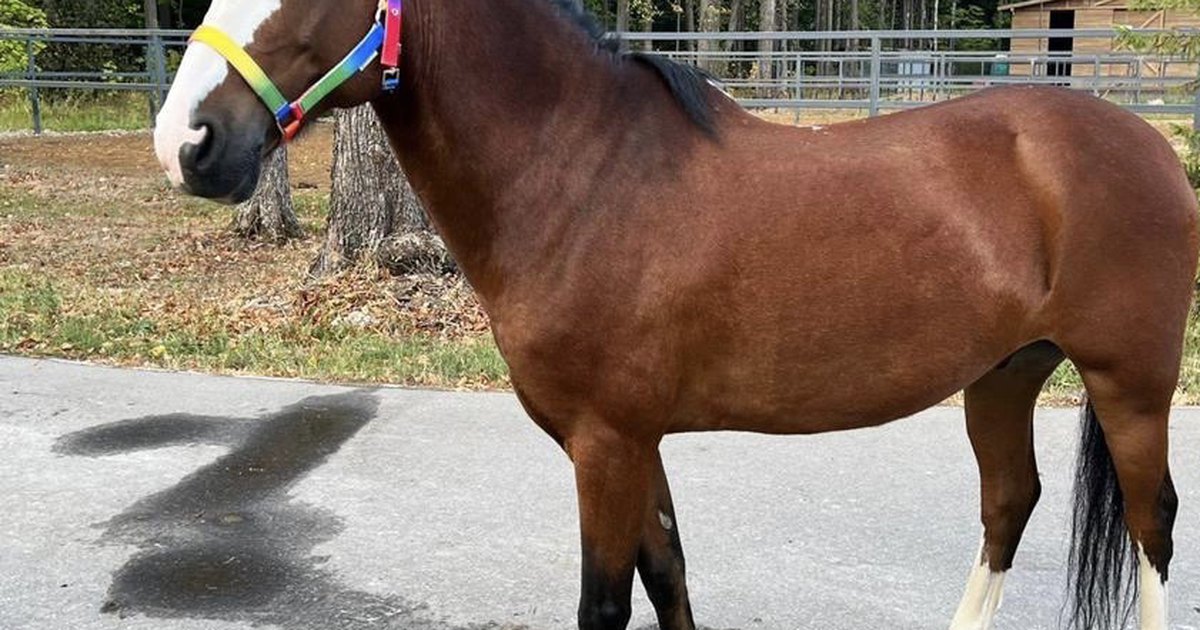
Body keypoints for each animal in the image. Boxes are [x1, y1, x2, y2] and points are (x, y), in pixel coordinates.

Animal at [151, 1, 1198, 628]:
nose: (187, 143)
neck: (583, 175)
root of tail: (1146, 141)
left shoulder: (605, 443)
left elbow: (607, 602)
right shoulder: (633, 440)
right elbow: (669, 578)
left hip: (1130, 384)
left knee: (1152, 524)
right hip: (1004, 375)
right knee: (1007, 506)